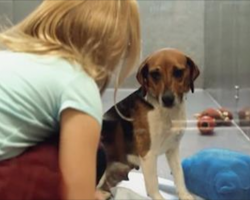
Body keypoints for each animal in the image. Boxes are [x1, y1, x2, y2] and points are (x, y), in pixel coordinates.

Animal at [97, 48, 199, 200]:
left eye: (178, 72)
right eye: (155, 74)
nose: (167, 99)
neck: (167, 113)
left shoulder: (173, 149)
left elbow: (179, 174)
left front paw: (184, 195)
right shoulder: (148, 154)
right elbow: (153, 184)